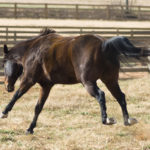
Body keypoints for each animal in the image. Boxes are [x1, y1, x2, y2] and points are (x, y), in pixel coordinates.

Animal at [0, 29, 142, 134]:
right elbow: (38, 107)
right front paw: (30, 129)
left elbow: (17, 96)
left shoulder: (29, 80)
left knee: (101, 95)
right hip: (110, 80)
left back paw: (106, 119)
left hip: (88, 82)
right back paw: (127, 121)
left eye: (4, 62)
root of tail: (103, 44)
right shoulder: (46, 86)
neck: (32, 51)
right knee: (120, 96)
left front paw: (4, 113)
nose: (7, 86)